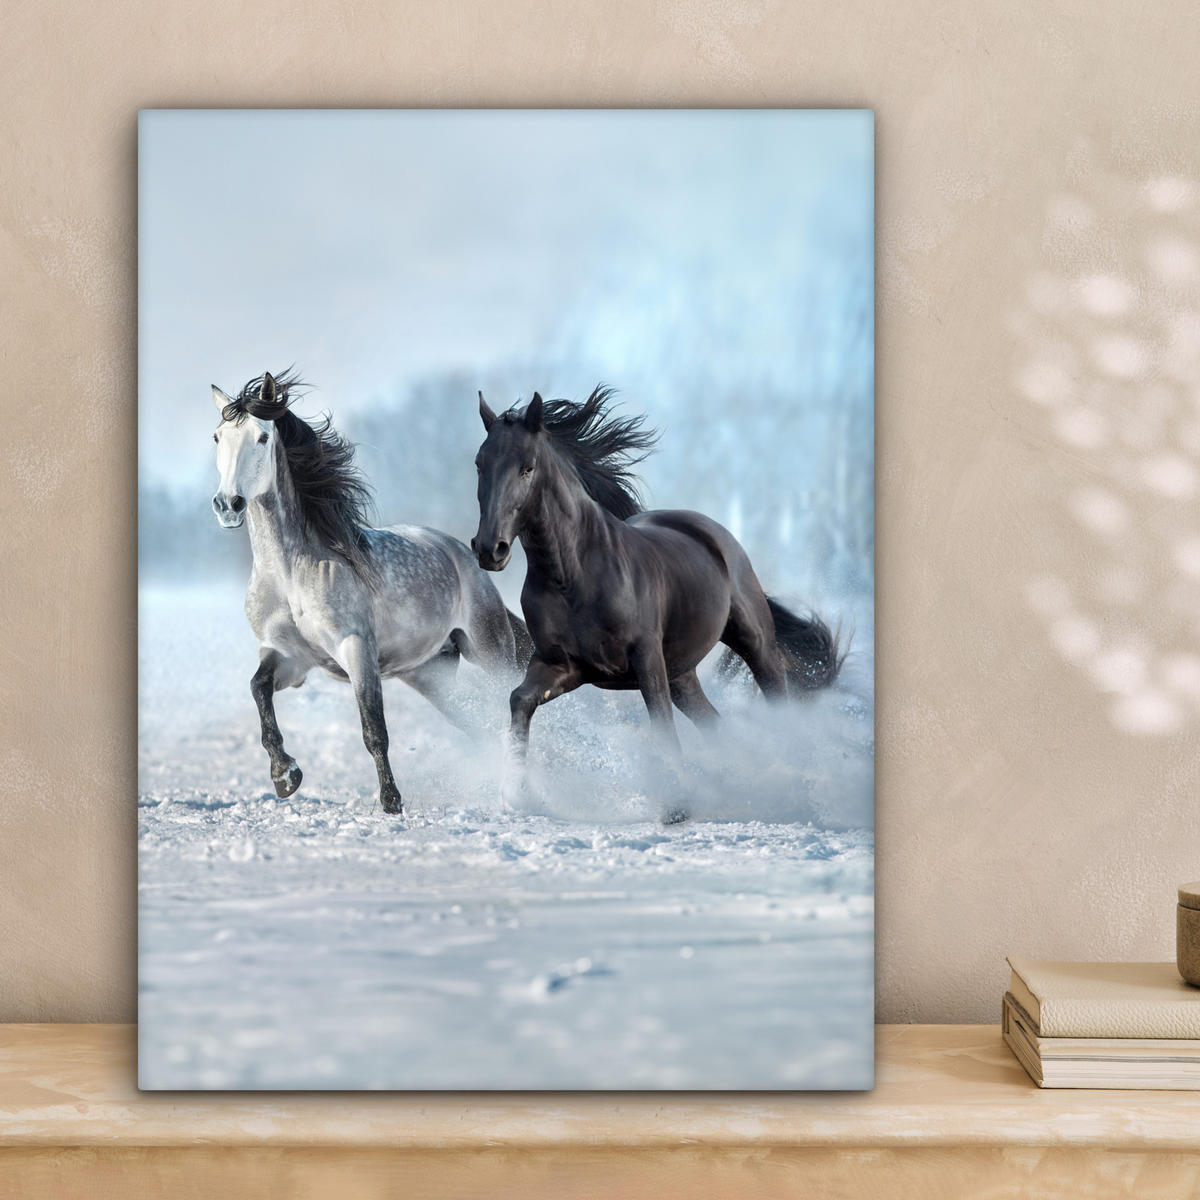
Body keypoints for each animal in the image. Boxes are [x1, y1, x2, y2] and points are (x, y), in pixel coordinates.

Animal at [210, 369, 532, 815]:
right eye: (217, 437)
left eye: (261, 437)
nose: (229, 504)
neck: (290, 574)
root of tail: (462, 555)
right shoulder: (289, 657)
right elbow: (258, 689)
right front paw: (285, 776)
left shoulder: (356, 648)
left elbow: (373, 728)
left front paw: (391, 802)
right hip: (430, 674)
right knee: (477, 725)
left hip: (490, 651)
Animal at [470, 386, 844, 819]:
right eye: (479, 464)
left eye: (527, 468)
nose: (489, 549)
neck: (573, 576)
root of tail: (714, 533)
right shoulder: (562, 665)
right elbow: (520, 700)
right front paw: (518, 794)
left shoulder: (646, 659)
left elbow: (660, 723)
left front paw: (677, 806)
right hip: (682, 674)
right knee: (715, 724)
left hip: (754, 642)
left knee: (777, 698)